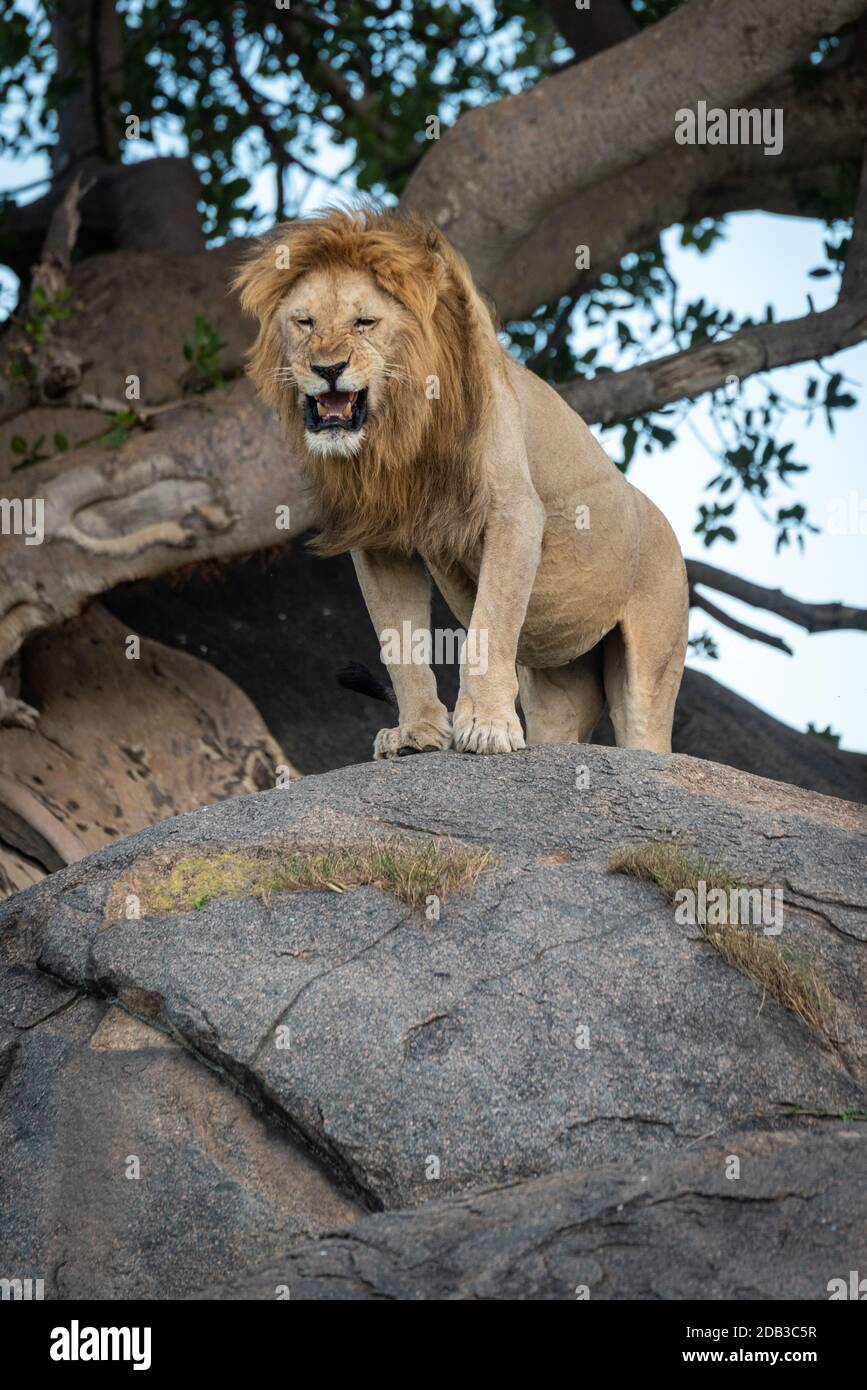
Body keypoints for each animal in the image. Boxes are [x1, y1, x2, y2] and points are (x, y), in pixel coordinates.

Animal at [235, 206, 689, 758]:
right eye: (304, 322)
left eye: (365, 322)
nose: (328, 369)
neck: (399, 427)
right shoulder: (382, 540)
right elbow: (399, 640)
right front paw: (417, 733)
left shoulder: (513, 512)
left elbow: (490, 623)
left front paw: (487, 726)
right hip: (559, 678)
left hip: (653, 657)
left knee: (644, 729)